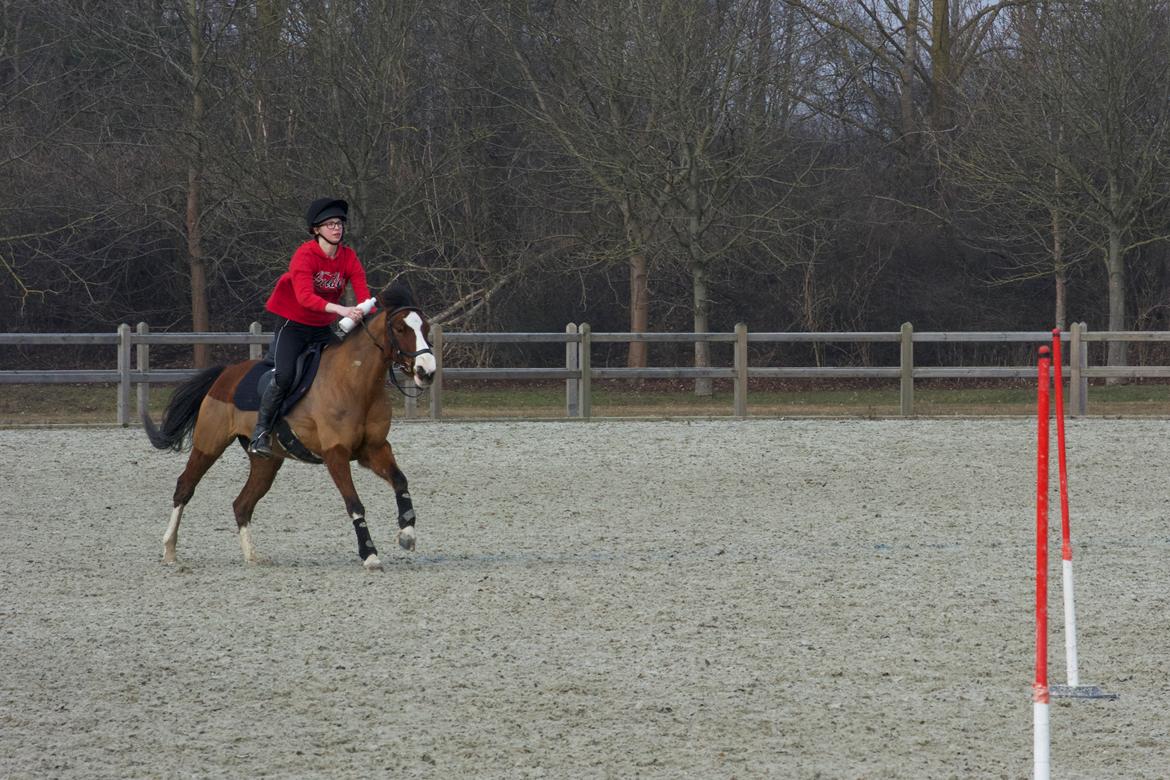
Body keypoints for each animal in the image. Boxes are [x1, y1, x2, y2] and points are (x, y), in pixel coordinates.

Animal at [142, 280, 435, 568]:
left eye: (426, 327)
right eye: (400, 328)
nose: (427, 372)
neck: (355, 383)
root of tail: (225, 374)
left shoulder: (373, 449)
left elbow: (400, 482)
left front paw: (407, 534)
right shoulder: (336, 454)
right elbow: (354, 503)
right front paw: (369, 554)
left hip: (267, 461)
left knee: (242, 504)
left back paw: (252, 556)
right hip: (209, 444)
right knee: (185, 488)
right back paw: (169, 549)